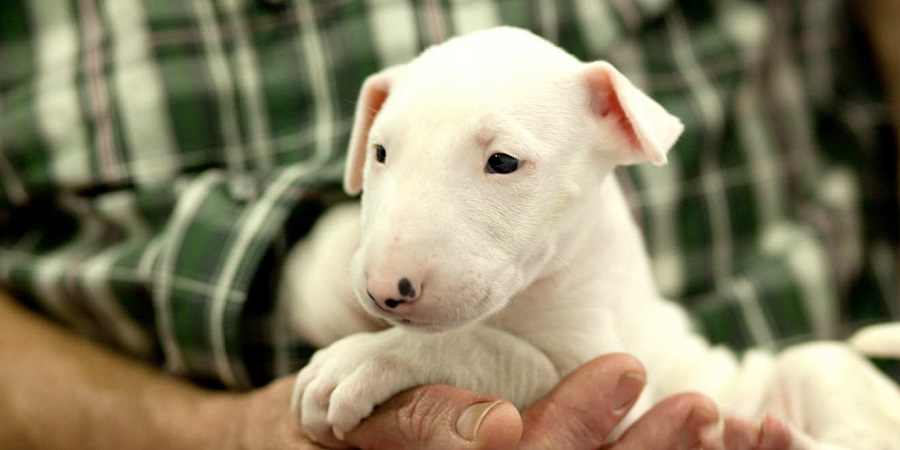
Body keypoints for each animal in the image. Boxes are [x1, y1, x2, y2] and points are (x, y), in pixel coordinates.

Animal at [282, 26, 900, 448]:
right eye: (380, 152)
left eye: (503, 161)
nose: (388, 289)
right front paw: (320, 278)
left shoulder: (613, 387)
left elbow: (495, 349)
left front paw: (361, 362)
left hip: (823, 370)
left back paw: (774, 436)